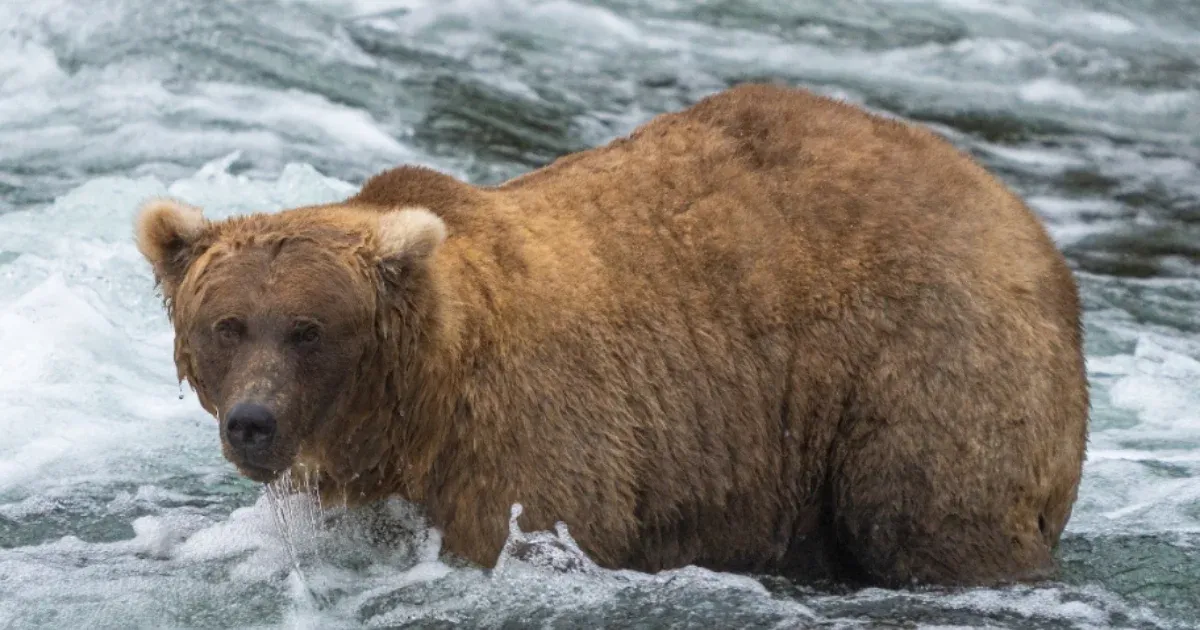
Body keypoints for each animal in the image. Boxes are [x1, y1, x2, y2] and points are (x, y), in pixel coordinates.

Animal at [131, 81, 1089, 588]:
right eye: (227, 325)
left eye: (308, 329)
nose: (252, 423)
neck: (416, 405)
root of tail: (1022, 217)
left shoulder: (530, 441)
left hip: (926, 358)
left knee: (929, 513)